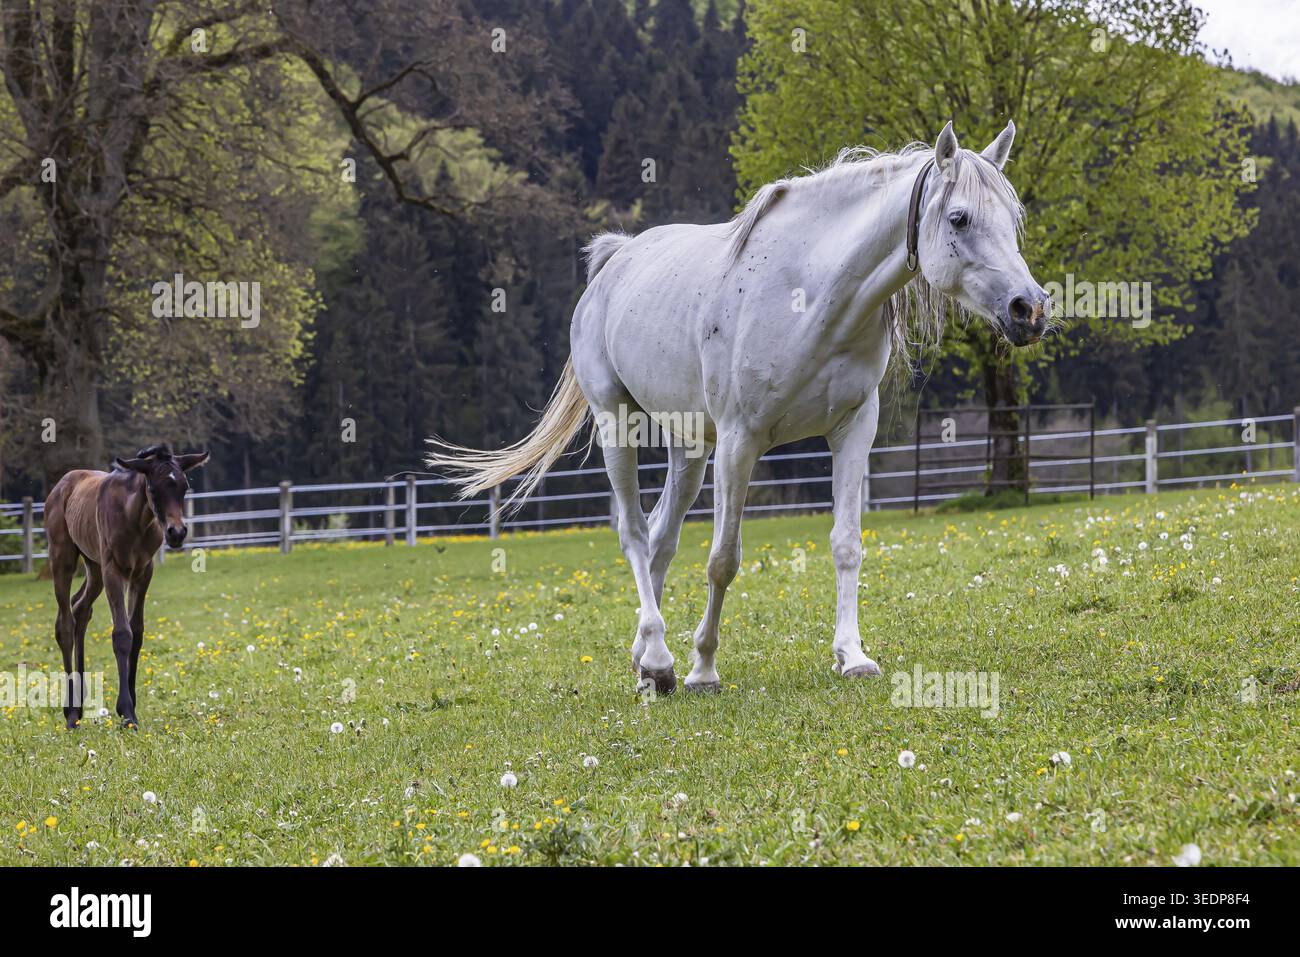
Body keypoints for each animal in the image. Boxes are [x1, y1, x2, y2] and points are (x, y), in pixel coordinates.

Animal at [43, 444, 210, 728]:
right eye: (153, 488)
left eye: (184, 486)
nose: (177, 533)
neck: (136, 519)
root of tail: (60, 485)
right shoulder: (114, 570)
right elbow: (122, 634)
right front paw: (127, 711)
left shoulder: (143, 572)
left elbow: (137, 632)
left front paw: (131, 700)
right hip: (63, 559)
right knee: (64, 623)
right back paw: (71, 713)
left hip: (94, 567)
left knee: (81, 609)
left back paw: (79, 702)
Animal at [428, 121, 1049, 694]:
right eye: (960, 218)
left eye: (1013, 217)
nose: (1030, 308)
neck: (809, 296)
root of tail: (614, 260)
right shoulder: (740, 441)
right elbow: (723, 559)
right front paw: (703, 666)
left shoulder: (853, 430)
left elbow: (846, 545)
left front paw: (852, 656)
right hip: (617, 423)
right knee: (634, 533)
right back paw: (661, 662)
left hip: (689, 448)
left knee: (661, 537)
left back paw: (644, 659)